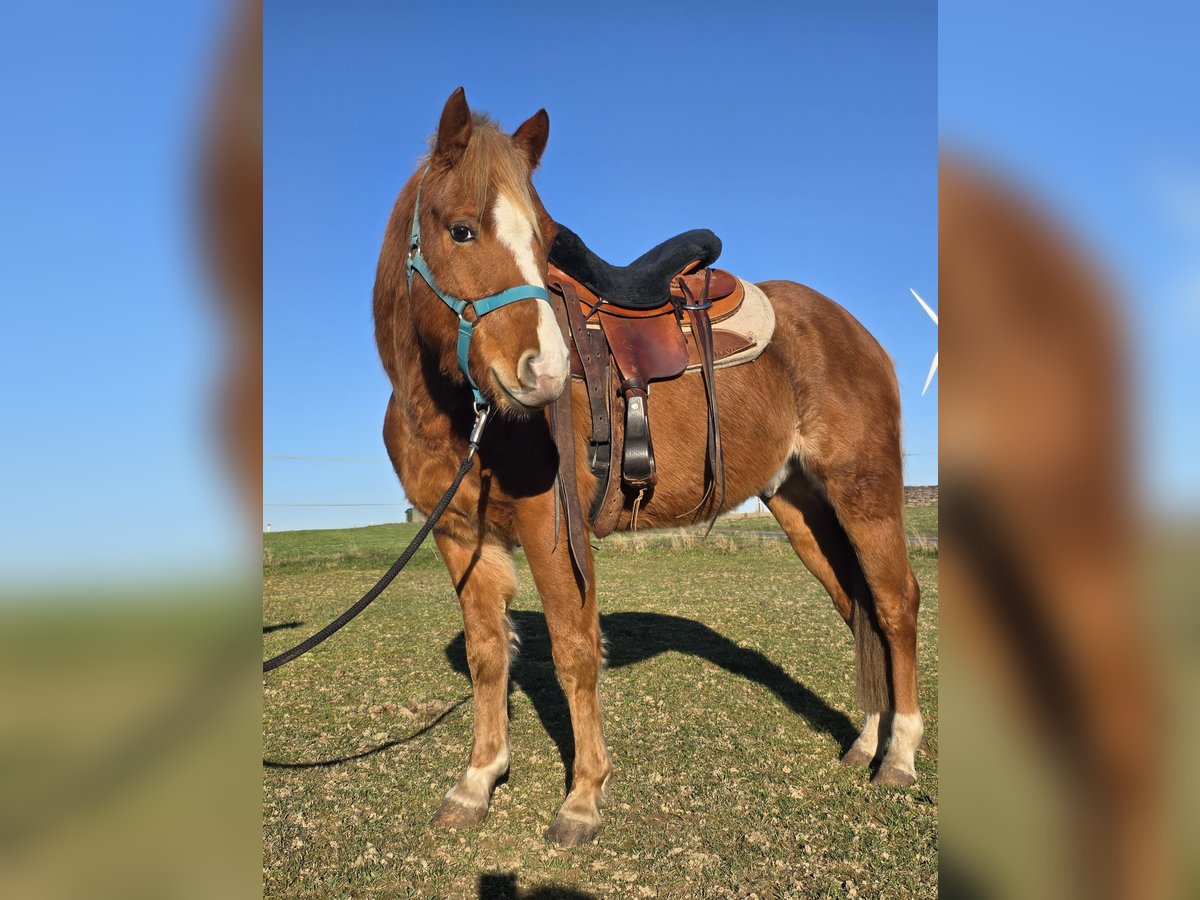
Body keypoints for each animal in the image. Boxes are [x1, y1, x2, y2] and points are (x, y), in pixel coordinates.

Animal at [373, 87, 922, 848]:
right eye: (461, 230)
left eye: (544, 242)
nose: (545, 373)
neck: (453, 409)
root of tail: (854, 331)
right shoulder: (460, 537)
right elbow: (489, 654)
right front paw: (477, 782)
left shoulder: (552, 530)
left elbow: (575, 652)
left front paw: (582, 800)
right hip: (802, 507)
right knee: (856, 605)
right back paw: (867, 741)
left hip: (865, 494)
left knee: (896, 606)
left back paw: (899, 757)